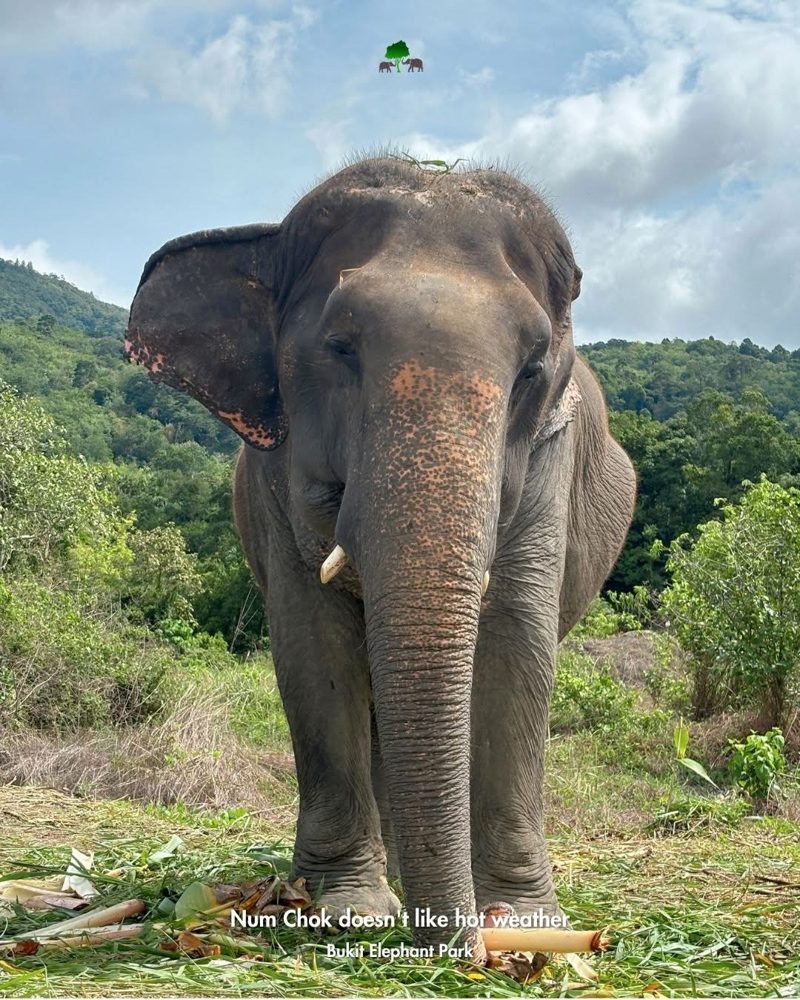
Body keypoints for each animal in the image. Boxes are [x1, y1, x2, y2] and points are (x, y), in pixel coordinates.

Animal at [125, 154, 636, 962]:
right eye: (340, 348)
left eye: (531, 368)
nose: (463, 950)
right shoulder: (277, 471)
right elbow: (313, 648)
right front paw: (346, 910)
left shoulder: (548, 464)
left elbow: (517, 646)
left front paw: (527, 925)